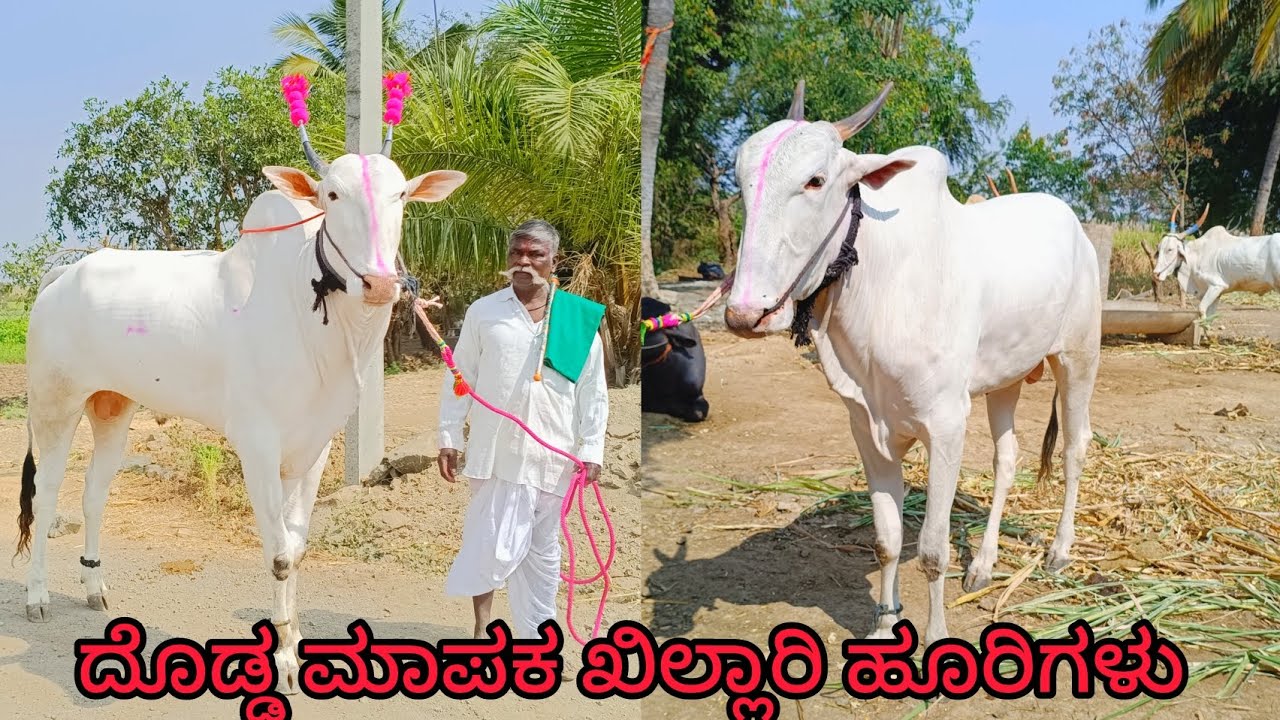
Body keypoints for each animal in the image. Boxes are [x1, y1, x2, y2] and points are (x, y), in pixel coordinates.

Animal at [15, 116, 466, 694]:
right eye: (331, 194)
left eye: (402, 195)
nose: (380, 283)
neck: (310, 318)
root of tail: (63, 277)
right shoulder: (257, 446)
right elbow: (279, 556)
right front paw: (284, 661)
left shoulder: (314, 448)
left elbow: (297, 548)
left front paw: (295, 645)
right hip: (55, 404)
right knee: (46, 496)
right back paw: (37, 596)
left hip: (114, 406)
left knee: (95, 494)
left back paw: (95, 587)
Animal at [723, 80, 1100, 645]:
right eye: (742, 184)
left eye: (815, 181)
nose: (746, 312)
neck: (879, 284)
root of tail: (1076, 227)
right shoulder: (866, 426)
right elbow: (888, 540)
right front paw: (884, 625)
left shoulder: (945, 426)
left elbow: (931, 550)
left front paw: (937, 633)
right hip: (1006, 379)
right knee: (1006, 459)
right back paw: (983, 563)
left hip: (1078, 358)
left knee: (1075, 448)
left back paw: (1058, 550)